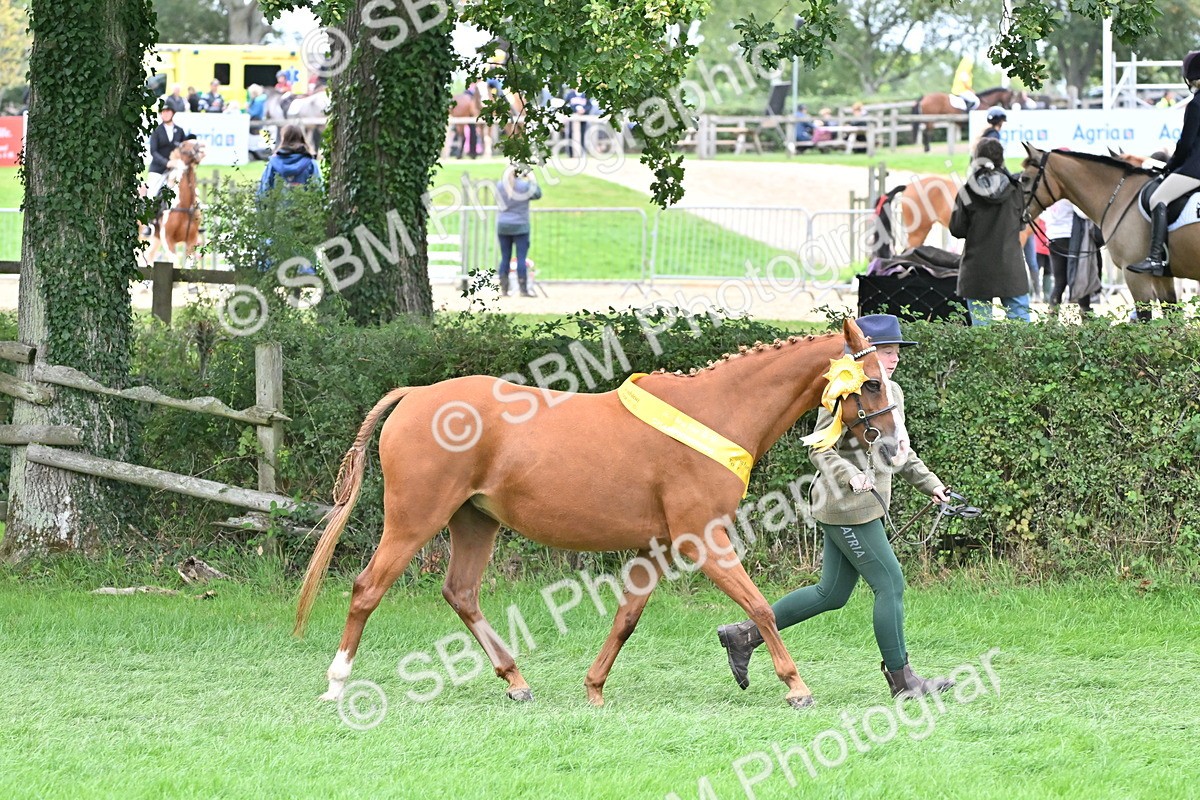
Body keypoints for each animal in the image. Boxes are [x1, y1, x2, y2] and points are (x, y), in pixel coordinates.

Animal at [293, 319, 910, 710]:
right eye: (871, 382)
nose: (892, 449)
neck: (715, 412)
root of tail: (416, 395)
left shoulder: (654, 548)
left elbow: (627, 618)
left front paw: (593, 689)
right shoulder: (702, 540)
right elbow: (759, 606)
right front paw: (796, 687)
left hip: (474, 521)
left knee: (460, 592)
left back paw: (515, 681)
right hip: (413, 521)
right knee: (367, 588)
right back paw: (336, 683)